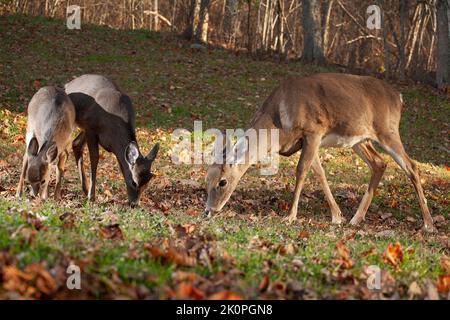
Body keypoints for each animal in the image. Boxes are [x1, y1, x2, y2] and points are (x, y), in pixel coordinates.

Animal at [64, 74, 160, 206]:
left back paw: (84, 188)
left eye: (147, 183)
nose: (133, 204)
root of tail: (68, 85)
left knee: (76, 143)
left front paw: (89, 193)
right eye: (134, 182)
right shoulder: (91, 129)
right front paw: (91, 197)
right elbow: (94, 158)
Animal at [205, 72, 436, 232]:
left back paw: (428, 224)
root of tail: (398, 97)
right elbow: (320, 173)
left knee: (411, 166)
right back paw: (355, 219)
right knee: (379, 163)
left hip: (388, 130)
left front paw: (290, 216)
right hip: (359, 139)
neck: (277, 126)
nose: (208, 211)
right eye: (207, 180)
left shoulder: (313, 131)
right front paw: (337, 216)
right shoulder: (307, 142)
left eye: (223, 182)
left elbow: (301, 171)